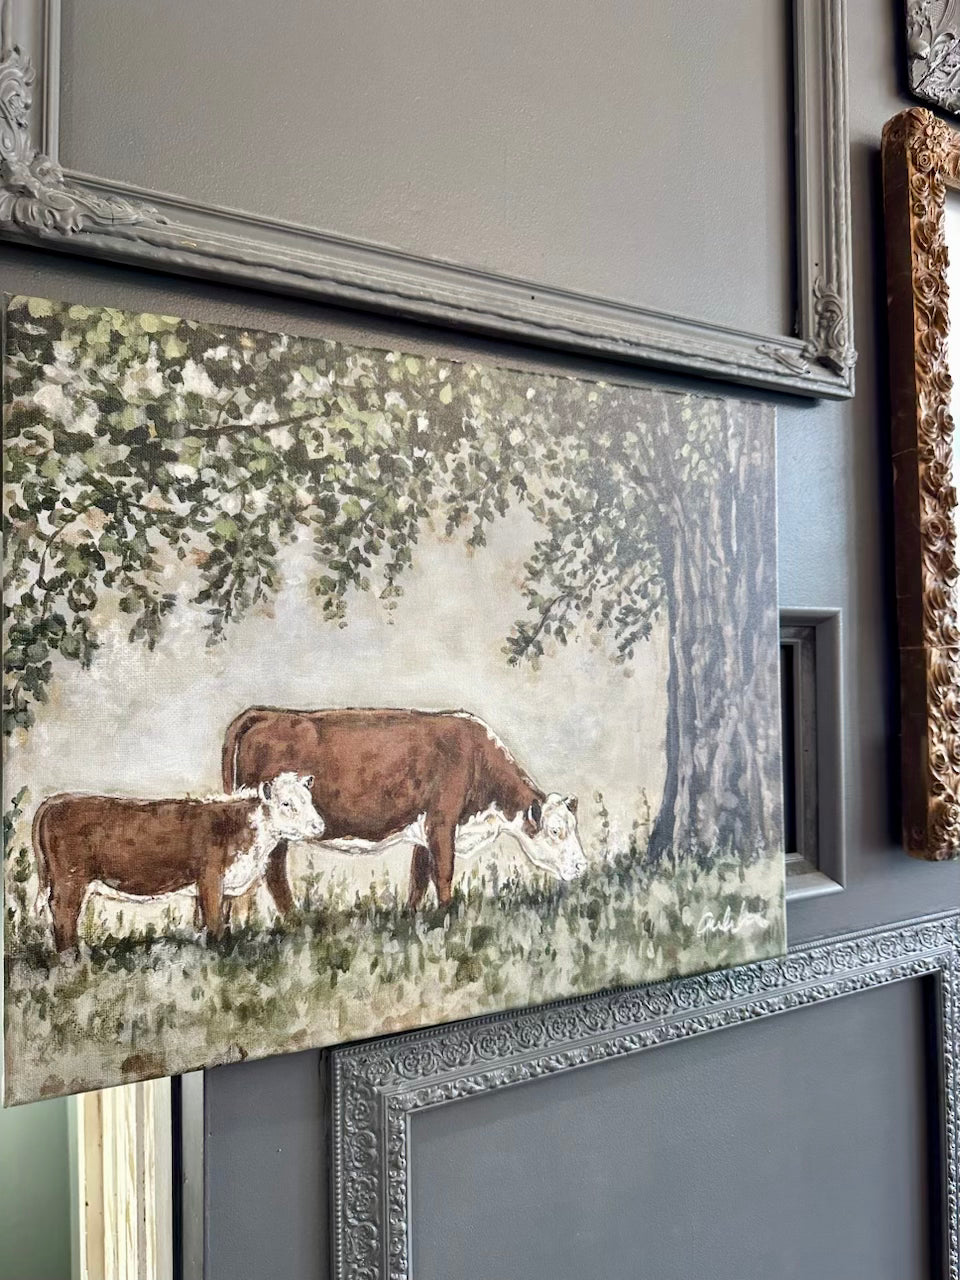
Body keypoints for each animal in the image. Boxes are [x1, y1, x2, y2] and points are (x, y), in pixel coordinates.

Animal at [33, 772, 324, 951]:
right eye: (286, 803)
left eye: (309, 799)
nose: (319, 825)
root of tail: (55, 800)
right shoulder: (210, 879)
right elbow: (214, 922)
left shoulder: (224, 886)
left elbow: (216, 921)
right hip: (70, 879)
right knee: (64, 913)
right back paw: (71, 958)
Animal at [221, 707, 587, 913]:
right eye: (556, 830)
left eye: (574, 826)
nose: (583, 865)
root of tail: (267, 713)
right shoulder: (442, 822)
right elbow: (443, 874)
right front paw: (447, 918)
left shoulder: (424, 829)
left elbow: (418, 878)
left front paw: (412, 919)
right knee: (274, 873)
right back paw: (296, 922)